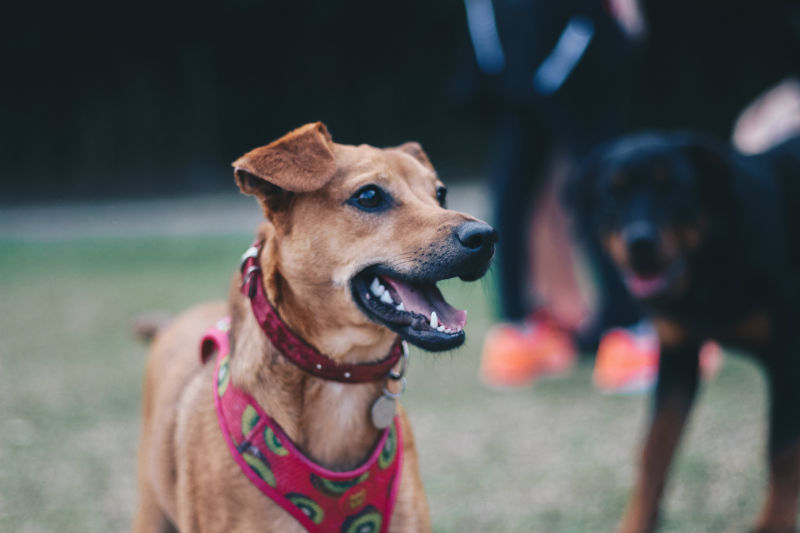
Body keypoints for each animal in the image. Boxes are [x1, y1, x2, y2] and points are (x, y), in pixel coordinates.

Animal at [568, 132, 800, 532]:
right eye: (611, 194)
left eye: (672, 188)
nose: (639, 242)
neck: (709, 264)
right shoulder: (678, 358)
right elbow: (655, 447)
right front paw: (637, 521)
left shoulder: (788, 357)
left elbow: (782, 452)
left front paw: (773, 524)